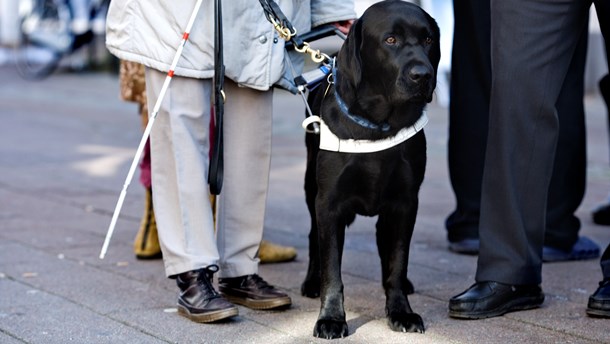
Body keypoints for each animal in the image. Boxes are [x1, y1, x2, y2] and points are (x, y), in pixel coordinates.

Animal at [298, 0, 436, 338]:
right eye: (390, 40)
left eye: (429, 40)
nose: (423, 75)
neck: (380, 123)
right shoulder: (329, 203)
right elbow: (332, 270)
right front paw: (331, 318)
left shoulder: (404, 202)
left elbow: (397, 261)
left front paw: (401, 311)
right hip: (310, 188)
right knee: (313, 236)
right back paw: (311, 280)